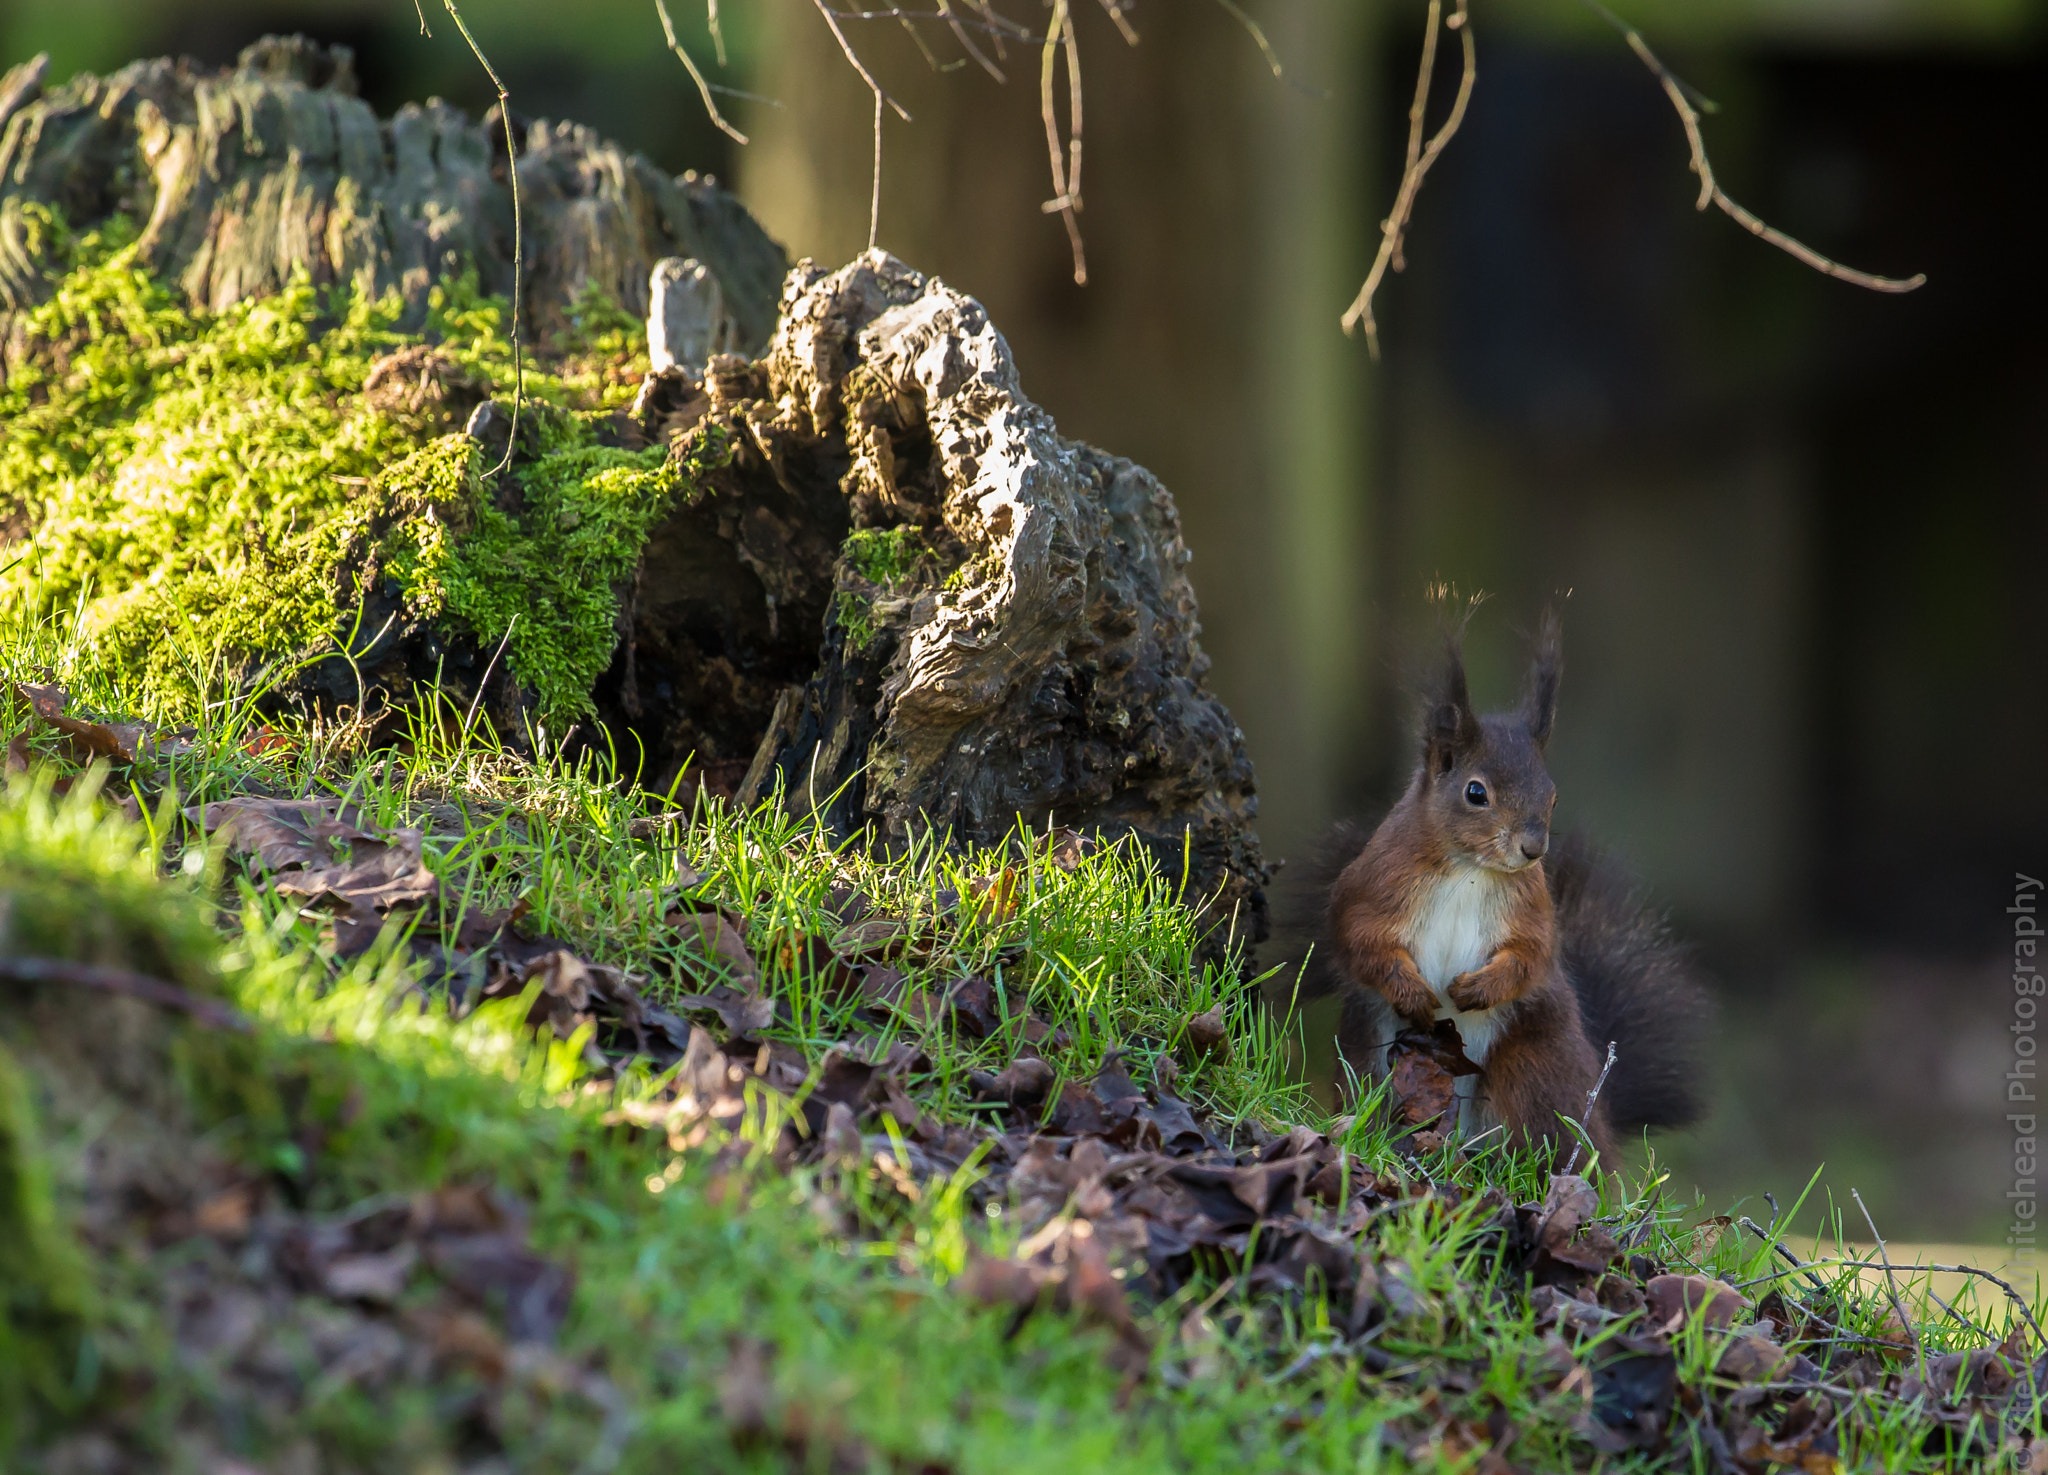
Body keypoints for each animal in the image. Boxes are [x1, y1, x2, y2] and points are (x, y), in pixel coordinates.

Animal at [1318, 610, 1703, 1163]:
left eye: (1553, 795)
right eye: (1476, 793)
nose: (1534, 848)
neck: (1469, 869)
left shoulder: (1532, 907)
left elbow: (1532, 953)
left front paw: (1477, 987)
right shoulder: (1372, 886)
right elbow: (1358, 939)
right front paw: (1411, 989)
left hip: (1532, 1068)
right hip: (1368, 1060)